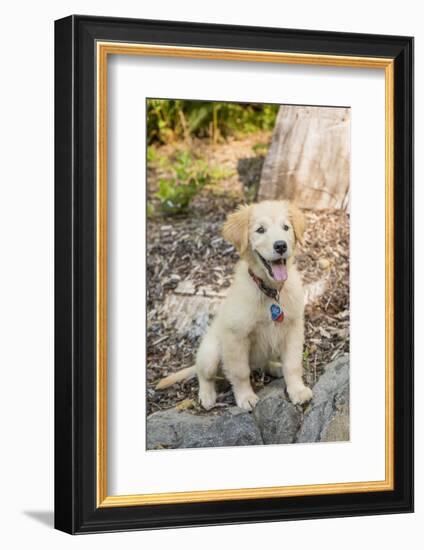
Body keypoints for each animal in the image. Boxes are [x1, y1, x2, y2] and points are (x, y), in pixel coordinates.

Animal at [157, 201, 314, 412]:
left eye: (286, 228)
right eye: (260, 230)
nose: (281, 245)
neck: (270, 291)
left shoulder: (293, 329)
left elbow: (293, 364)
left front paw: (297, 390)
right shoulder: (236, 337)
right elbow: (240, 372)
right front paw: (246, 397)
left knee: (262, 363)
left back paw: (275, 367)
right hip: (210, 352)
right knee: (204, 374)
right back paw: (207, 395)